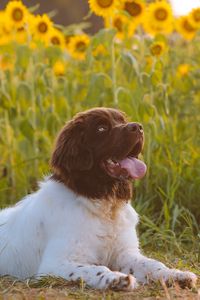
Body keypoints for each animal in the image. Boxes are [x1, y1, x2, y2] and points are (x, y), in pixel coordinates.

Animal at [0, 108, 197, 290]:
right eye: (101, 128)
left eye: (122, 120)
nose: (138, 127)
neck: (104, 204)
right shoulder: (55, 264)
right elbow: (95, 269)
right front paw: (117, 279)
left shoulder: (125, 253)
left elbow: (152, 264)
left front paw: (176, 275)